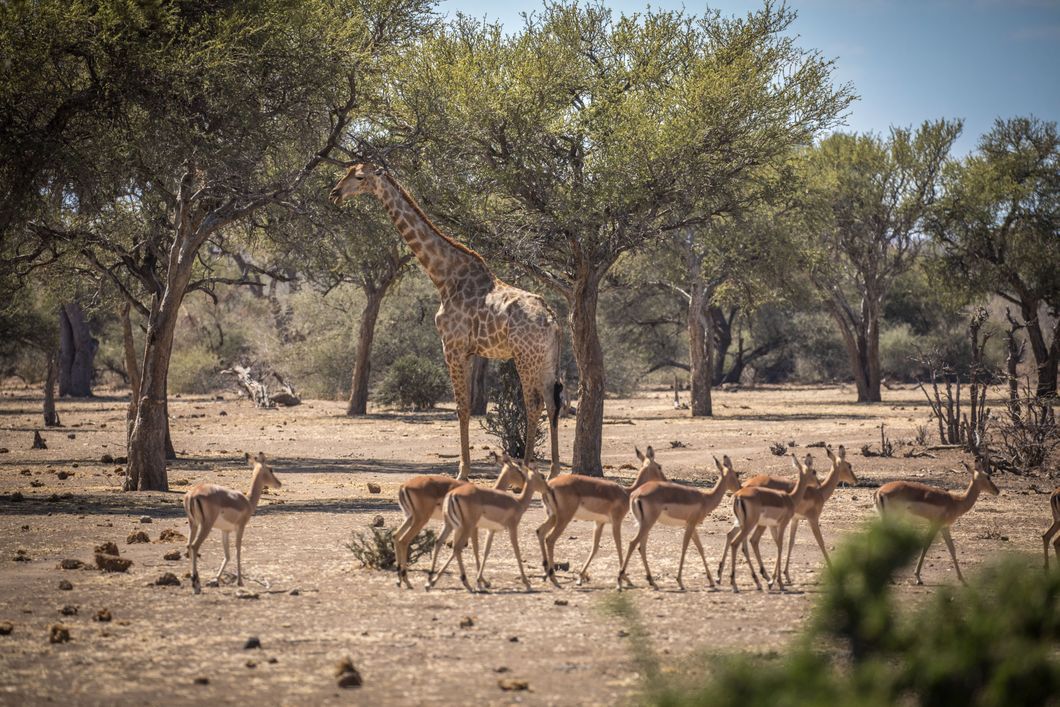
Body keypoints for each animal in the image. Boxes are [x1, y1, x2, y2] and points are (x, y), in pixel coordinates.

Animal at [330, 163, 563, 480]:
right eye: (347, 171)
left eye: (359, 177)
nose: (335, 192)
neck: (443, 277)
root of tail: (551, 320)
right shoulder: (468, 351)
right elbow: (465, 407)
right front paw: (464, 468)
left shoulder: (451, 346)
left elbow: (461, 408)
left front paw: (462, 472)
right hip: (547, 357)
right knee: (552, 402)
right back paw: (553, 472)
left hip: (524, 356)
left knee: (533, 403)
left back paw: (528, 469)